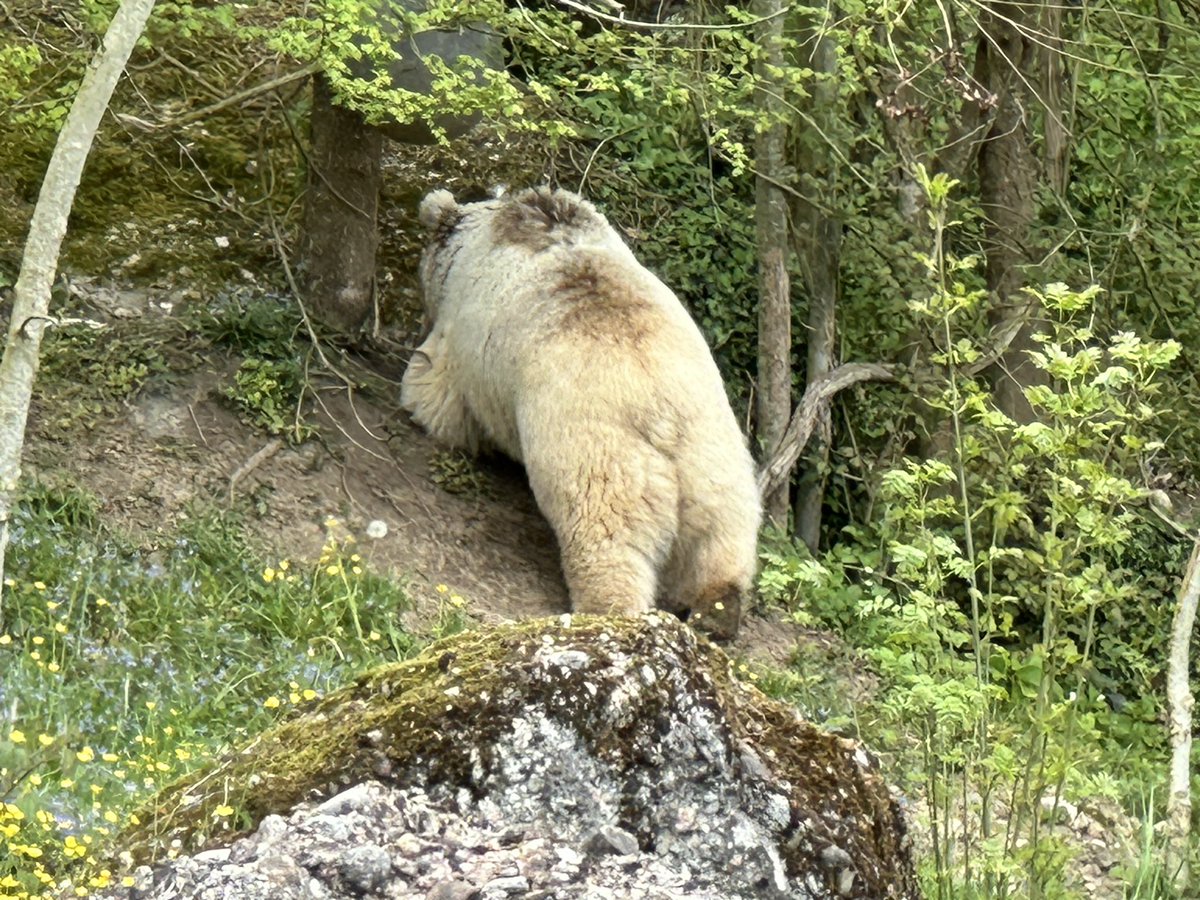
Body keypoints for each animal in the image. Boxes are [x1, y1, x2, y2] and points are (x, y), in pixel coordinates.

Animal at [401, 187, 761, 640]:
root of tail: (662, 414)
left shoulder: (466, 342)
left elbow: (437, 390)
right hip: (716, 457)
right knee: (723, 539)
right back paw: (718, 609)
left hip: (597, 453)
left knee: (605, 537)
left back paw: (607, 608)